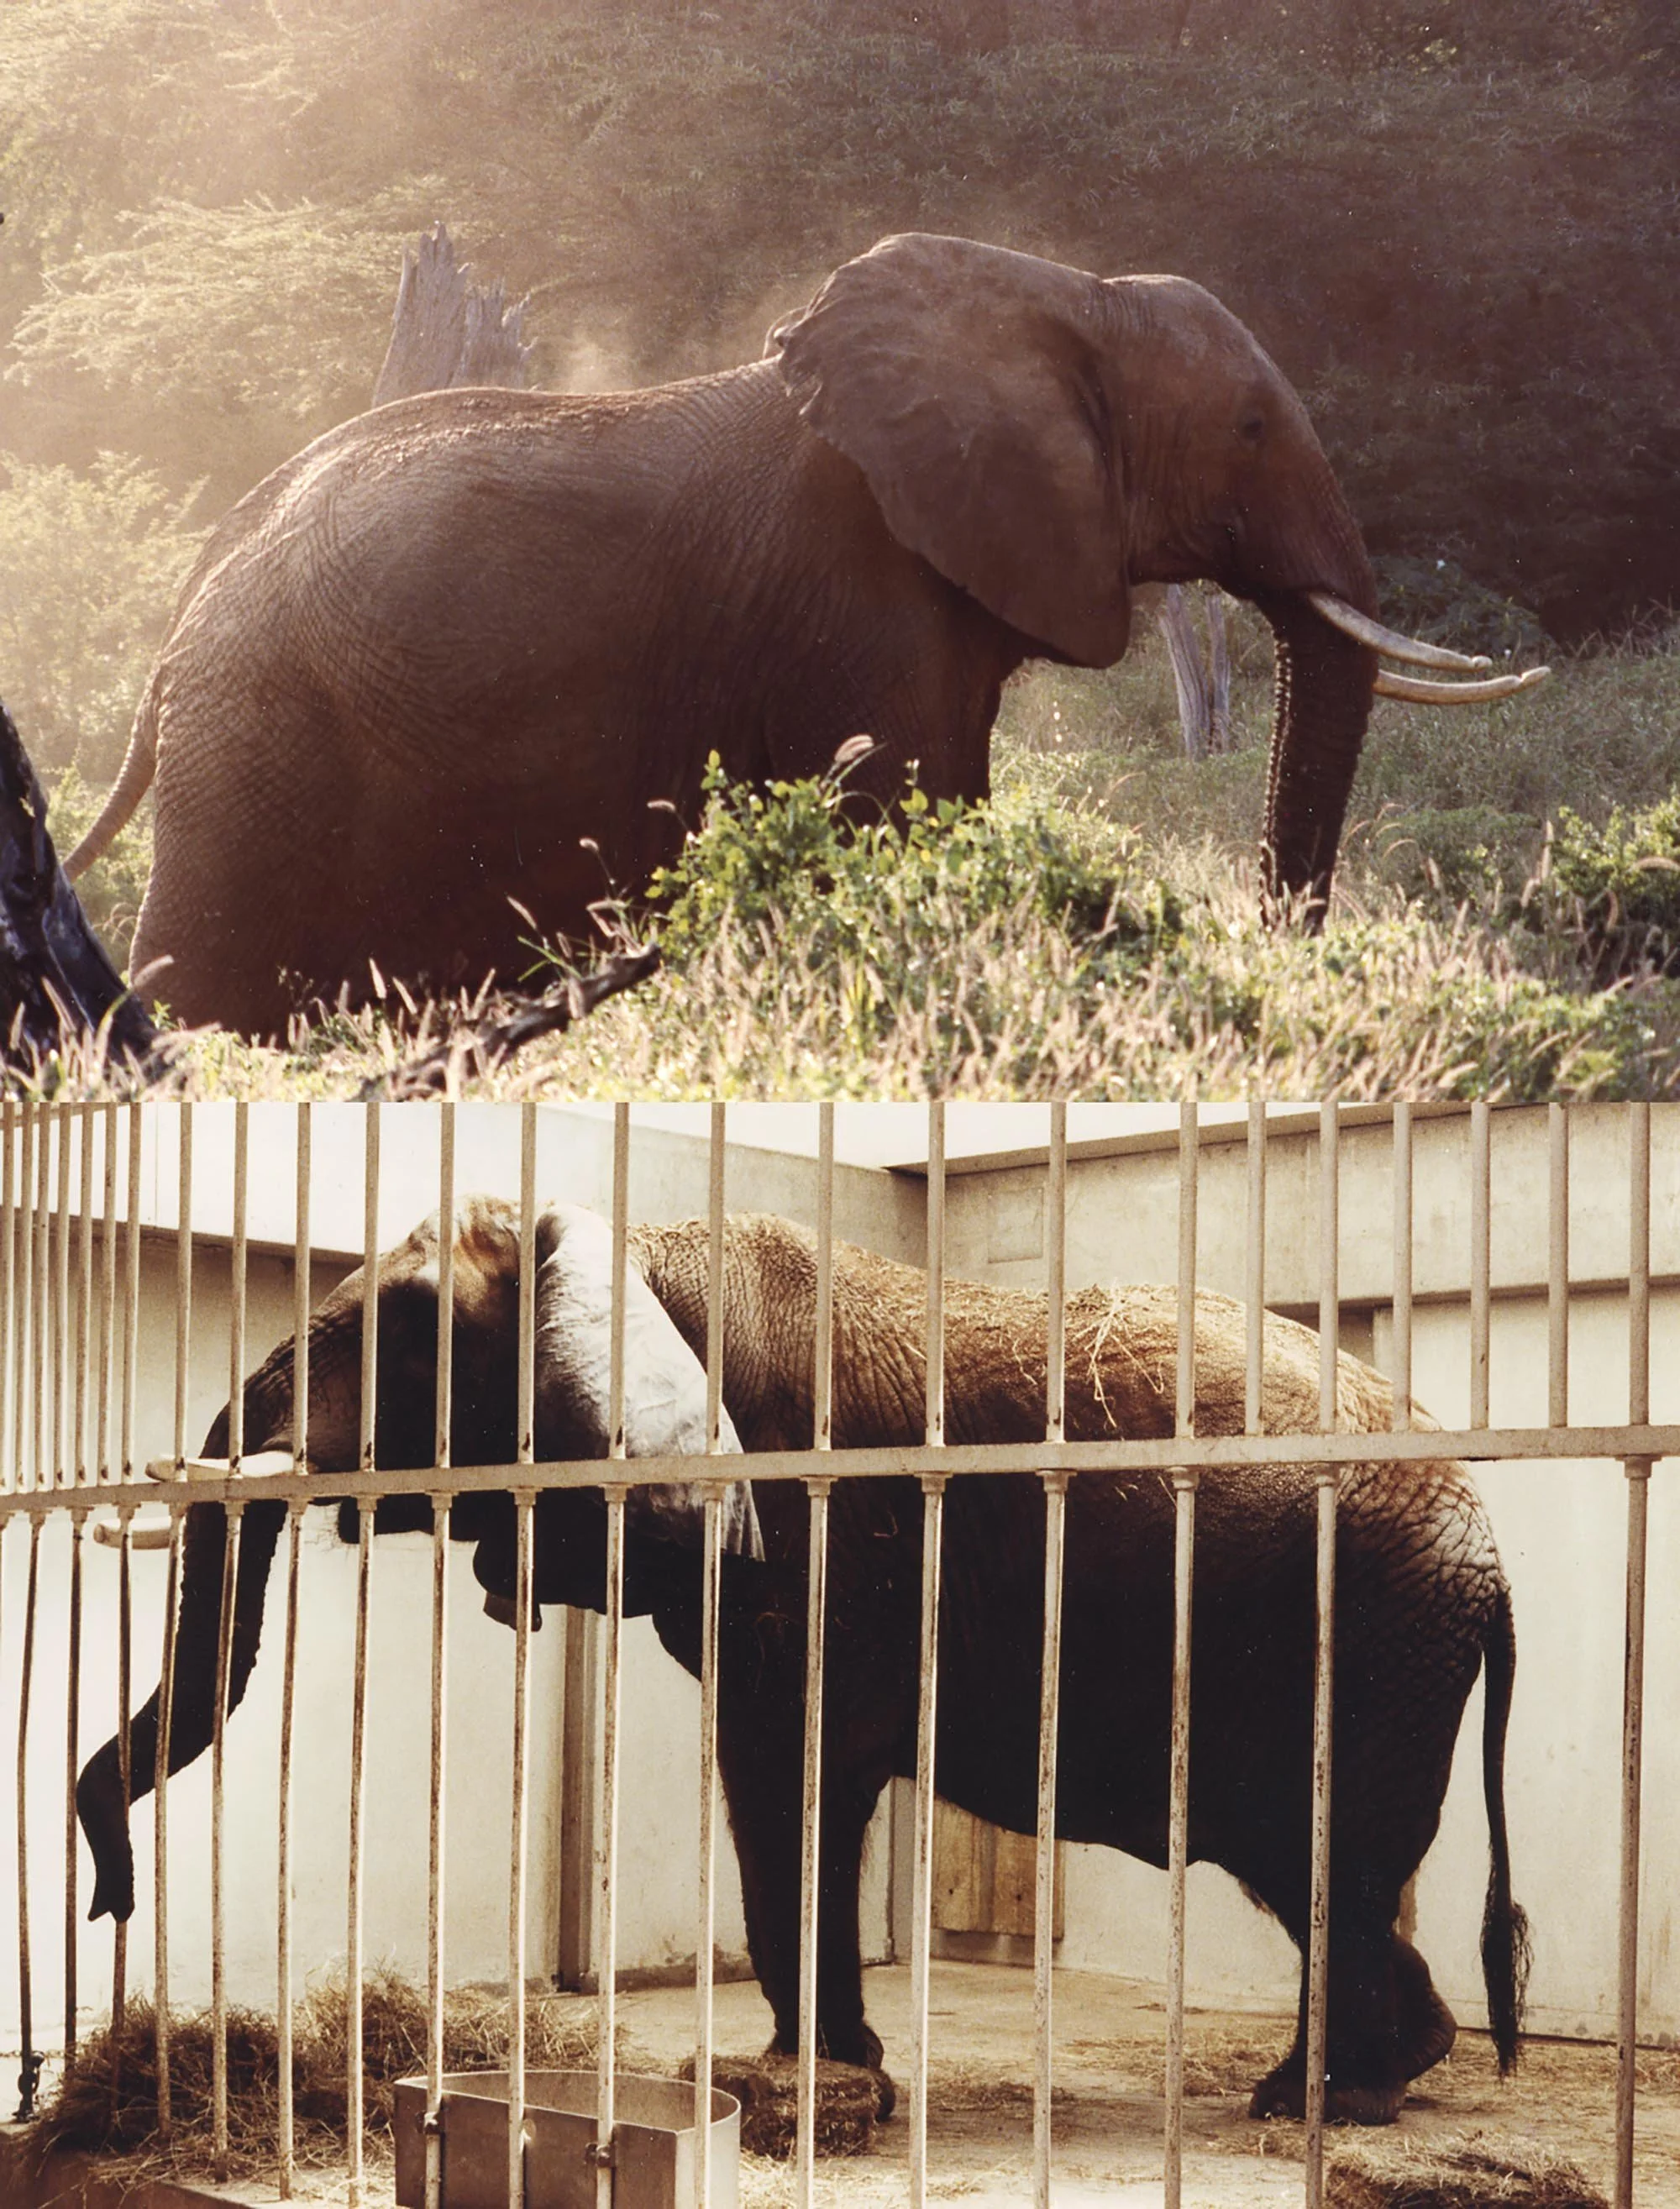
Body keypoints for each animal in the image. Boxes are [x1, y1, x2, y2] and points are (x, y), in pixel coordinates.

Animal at [64, 232, 1542, 1038]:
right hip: (264, 743)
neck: (1066, 293)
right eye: (1247, 428)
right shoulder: (857, 596)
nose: (1279, 941)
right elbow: (914, 825)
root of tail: (177, 626)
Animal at [77, 1197, 1529, 2127]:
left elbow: (784, 1768)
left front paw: (813, 2087)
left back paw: (1321, 2103)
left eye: (412, 1322)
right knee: (1313, 1873)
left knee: (1329, 1864)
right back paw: (1356, 2082)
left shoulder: (807, 1520)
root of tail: (1488, 1545)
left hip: (1376, 1641)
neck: (630, 1241)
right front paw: (841, 2074)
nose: (112, 1899)